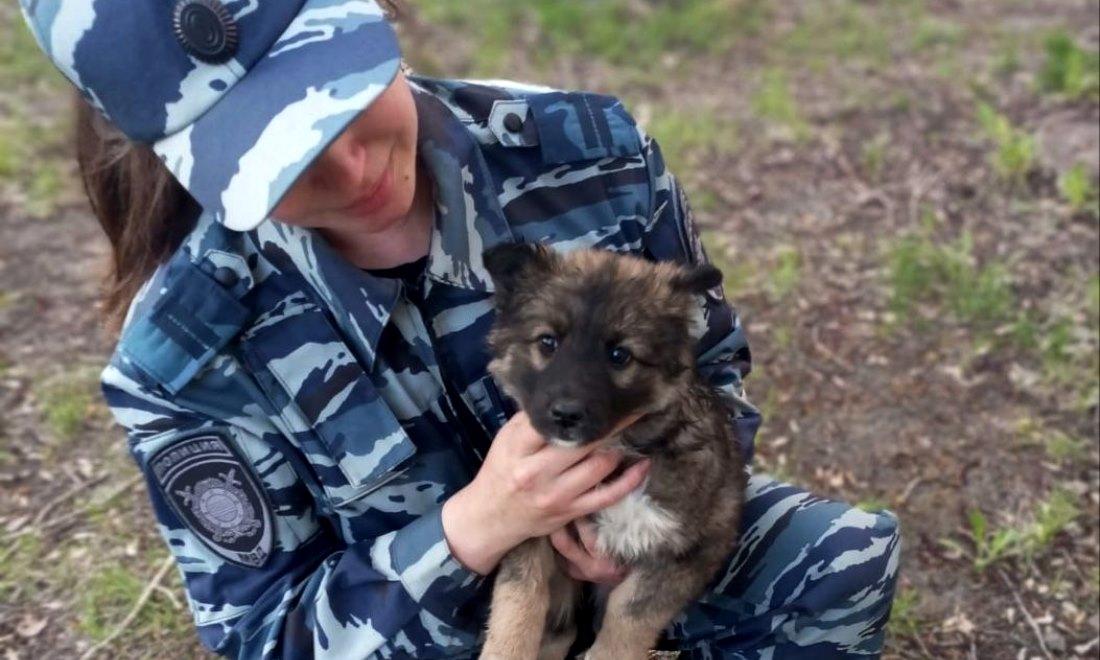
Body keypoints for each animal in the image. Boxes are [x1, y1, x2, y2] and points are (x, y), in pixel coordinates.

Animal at [481, 245, 748, 660]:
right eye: (547, 342)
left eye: (620, 355)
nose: (565, 415)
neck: (616, 447)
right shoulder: (528, 525)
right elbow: (519, 601)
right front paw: (505, 650)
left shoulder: (687, 550)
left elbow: (629, 619)